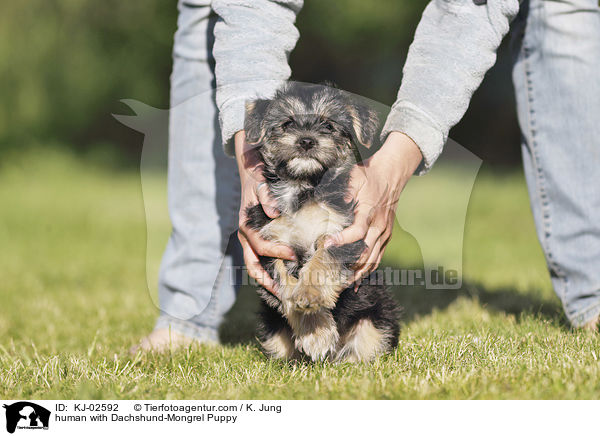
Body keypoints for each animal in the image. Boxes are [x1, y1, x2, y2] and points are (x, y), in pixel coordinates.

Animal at [241, 83, 400, 362]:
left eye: (327, 125)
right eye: (287, 123)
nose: (306, 140)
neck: (303, 187)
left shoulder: (340, 233)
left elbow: (320, 262)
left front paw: (309, 299)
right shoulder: (271, 243)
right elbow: (284, 285)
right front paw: (314, 330)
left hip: (377, 321)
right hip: (273, 332)